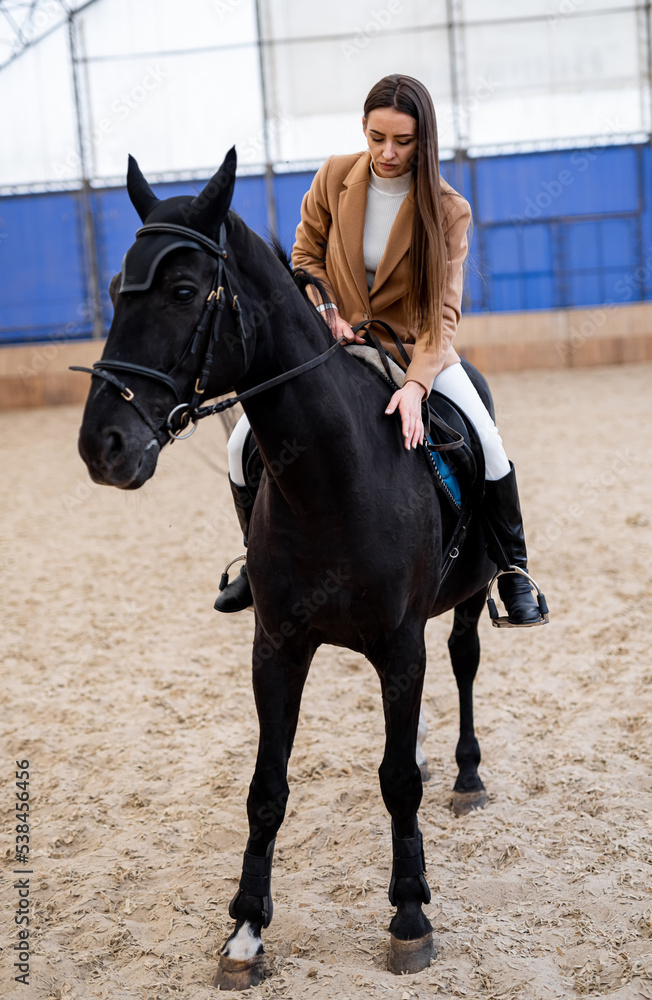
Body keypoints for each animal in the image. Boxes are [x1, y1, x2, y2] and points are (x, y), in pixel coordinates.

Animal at [77, 150, 500, 992]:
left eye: (182, 291)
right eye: (113, 290)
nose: (101, 444)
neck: (332, 477)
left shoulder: (398, 645)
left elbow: (396, 781)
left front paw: (410, 915)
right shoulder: (276, 645)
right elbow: (266, 789)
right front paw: (245, 931)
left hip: (467, 597)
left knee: (464, 659)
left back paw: (466, 774)